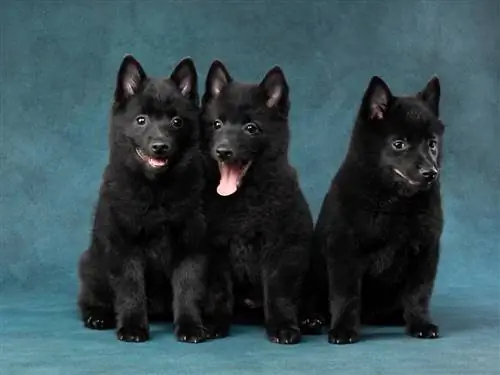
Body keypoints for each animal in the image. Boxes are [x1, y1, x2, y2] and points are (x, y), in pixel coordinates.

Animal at [78, 54, 211, 346]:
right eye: (141, 120)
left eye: (176, 122)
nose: (160, 146)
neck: (156, 190)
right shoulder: (124, 246)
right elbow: (131, 289)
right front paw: (132, 327)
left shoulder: (191, 246)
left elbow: (188, 288)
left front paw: (190, 326)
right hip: (92, 266)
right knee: (90, 298)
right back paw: (97, 316)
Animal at [198, 60, 312, 346]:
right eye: (217, 124)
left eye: (251, 128)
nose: (223, 151)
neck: (243, 201)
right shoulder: (215, 250)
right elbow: (218, 291)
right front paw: (214, 323)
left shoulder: (281, 248)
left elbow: (279, 292)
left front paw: (283, 327)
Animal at [312, 76, 446, 346]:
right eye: (399, 144)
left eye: (432, 144)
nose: (431, 172)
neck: (393, 203)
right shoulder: (344, 250)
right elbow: (346, 294)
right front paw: (343, 329)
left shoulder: (425, 250)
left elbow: (418, 293)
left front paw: (421, 324)